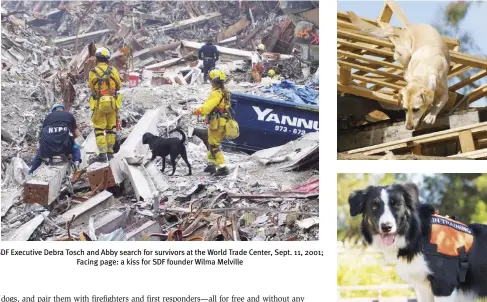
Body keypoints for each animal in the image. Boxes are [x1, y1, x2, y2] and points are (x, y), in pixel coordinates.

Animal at [348, 183, 487, 300]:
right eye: (374, 206)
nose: (386, 227)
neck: (418, 235)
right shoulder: (423, 286)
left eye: (397, 204)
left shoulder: (444, 286)